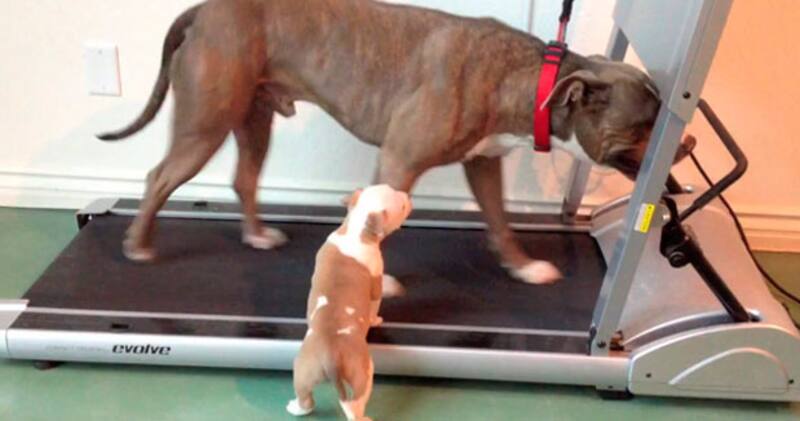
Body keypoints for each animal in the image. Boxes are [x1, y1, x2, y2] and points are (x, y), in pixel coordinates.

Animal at [98, 0, 694, 284]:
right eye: (644, 124)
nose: (685, 142)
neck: (531, 81)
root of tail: (206, 11)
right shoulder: (399, 162)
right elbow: (372, 229)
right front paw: (377, 286)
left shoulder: (484, 164)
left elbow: (501, 222)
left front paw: (523, 266)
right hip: (206, 123)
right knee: (160, 176)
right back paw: (138, 245)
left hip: (253, 118)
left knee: (244, 177)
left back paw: (257, 236)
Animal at [286, 184, 412, 421]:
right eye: (401, 206)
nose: (407, 195)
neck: (356, 231)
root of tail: (331, 356)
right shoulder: (376, 281)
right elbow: (374, 305)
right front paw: (376, 320)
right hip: (363, 371)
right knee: (355, 403)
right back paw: (361, 415)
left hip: (304, 369)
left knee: (305, 396)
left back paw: (296, 407)